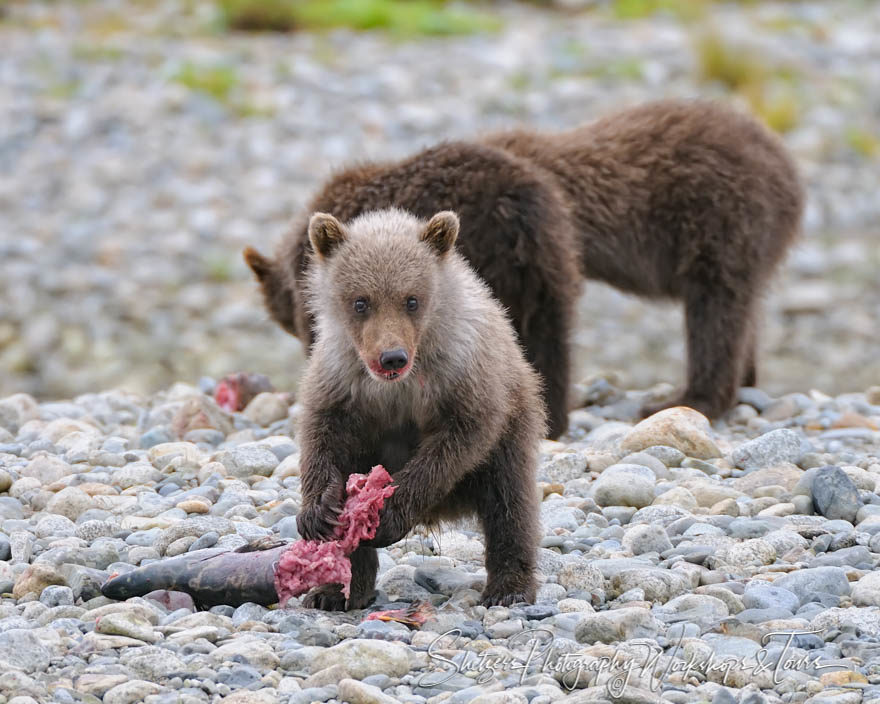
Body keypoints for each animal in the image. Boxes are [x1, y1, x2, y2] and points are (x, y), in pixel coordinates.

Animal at [296, 206, 544, 608]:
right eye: (361, 301)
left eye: (411, 299)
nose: (392, 357)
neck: (398, 387)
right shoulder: (341, 379)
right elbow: (322, 435)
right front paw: (319, 512)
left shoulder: (462, 375)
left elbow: (456, 440)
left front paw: (388, 514)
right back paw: (337, 591)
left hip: (514, 423)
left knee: (509, 503)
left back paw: (509, 587)